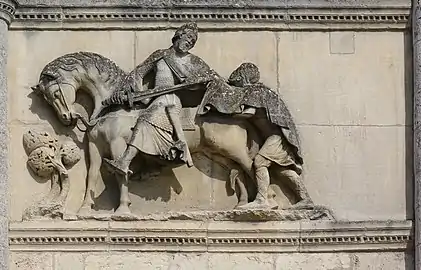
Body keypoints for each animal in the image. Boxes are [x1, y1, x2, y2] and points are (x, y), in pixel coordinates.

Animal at [31, 51, 258, 218]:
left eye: (55, 93)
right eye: (47, 98)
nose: (66, 118)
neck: (112, 108)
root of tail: (239, 115)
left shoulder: (117, 144)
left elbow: (121, 172)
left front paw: (122, 210)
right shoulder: (95, 148)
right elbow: (92, 175)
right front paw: (85, 210)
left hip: (231, 148)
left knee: (250, 166)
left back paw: (261, 204)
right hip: (219, 153)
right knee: (238, 171)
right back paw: (242, 206)